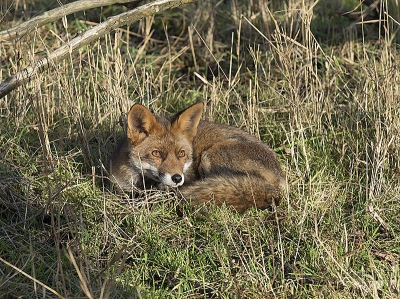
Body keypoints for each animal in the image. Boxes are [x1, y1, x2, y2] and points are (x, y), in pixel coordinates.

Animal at [108, 103, 286, 213]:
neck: (144, 184)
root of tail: (279, 185)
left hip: (210, 156)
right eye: (156, 153)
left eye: (181, 154)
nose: (177, 178)